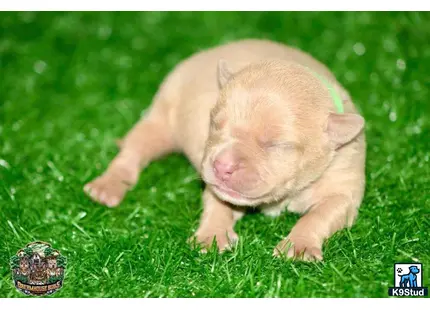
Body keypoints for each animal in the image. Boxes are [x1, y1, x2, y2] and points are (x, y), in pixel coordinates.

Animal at [82, 38, 364, 262]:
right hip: (162, 116)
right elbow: (217, 203)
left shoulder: (344, 189)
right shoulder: (216, 187)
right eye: (216, 124)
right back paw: (108, 186)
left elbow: (320, 214)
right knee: (133, 151)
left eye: (275, 144)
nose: (222, 166)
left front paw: (299, 245)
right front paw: (212, 235)